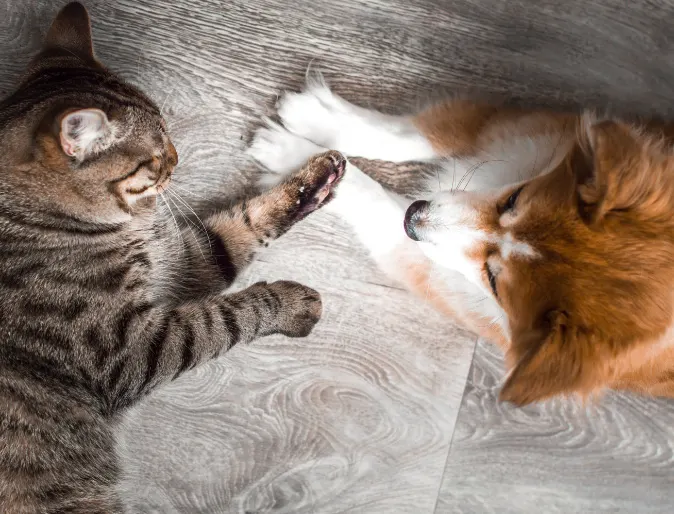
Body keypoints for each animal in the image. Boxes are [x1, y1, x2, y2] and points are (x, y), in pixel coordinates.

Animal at [0, 3, 344, 508]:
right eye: (157, 154)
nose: (178, 157)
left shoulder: (176, 262)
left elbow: (241, 226)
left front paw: (311, 181)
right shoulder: (131, 349)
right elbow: (225, 318)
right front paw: (288, 304)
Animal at [249, 76, 672, 404]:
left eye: (495, 281)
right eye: (513, 199)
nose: (414, 217)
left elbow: (375, 201)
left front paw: (300, 163)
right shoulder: (530, 130)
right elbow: (415, 135)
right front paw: (318, 120)